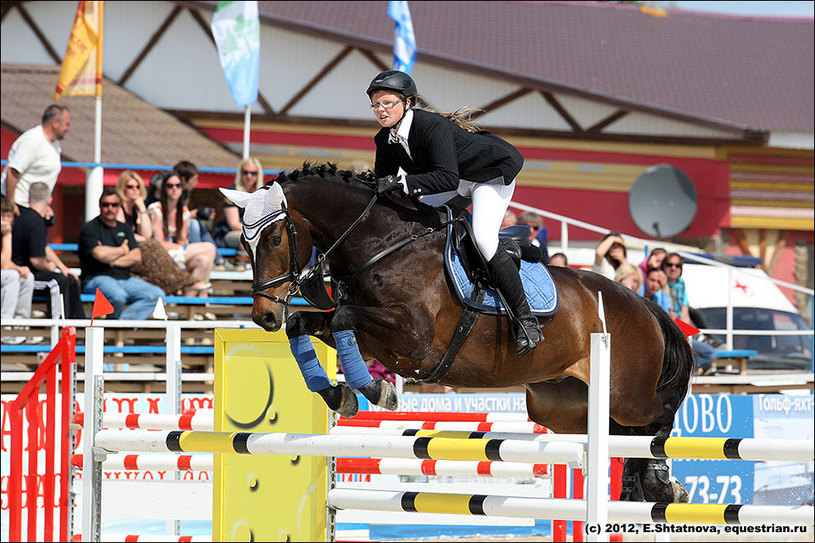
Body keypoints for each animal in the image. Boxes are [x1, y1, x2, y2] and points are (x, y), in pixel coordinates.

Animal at [222, 164, 696, 504]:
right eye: (244, 244)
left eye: (275, 237)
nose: (264, 315)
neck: (383, 244)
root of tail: (642, 303)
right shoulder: (378, 339)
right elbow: (309, 323)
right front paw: (340, 394)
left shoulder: (412, 337)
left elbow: (341, 320)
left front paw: (376, 391)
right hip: (560, 405)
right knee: (619, 435)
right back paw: (642, 488)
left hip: (626, 391)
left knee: (659, 412)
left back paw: (662, 484)